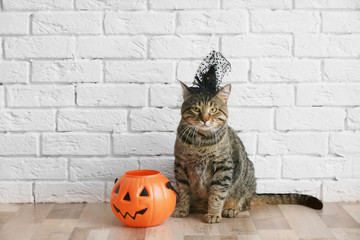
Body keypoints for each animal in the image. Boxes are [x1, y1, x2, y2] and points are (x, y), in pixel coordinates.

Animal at [173, 71, 322, 223]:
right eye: (196, 109)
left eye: (213, 110)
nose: (204, 119)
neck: (201, 142)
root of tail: (253, 193)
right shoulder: (180, 165)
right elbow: (183, 191)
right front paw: (182, 208)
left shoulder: (223, 167)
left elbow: (217, 194)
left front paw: (214, 213)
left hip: (245, 181)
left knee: (244, 203)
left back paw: (231, 209)